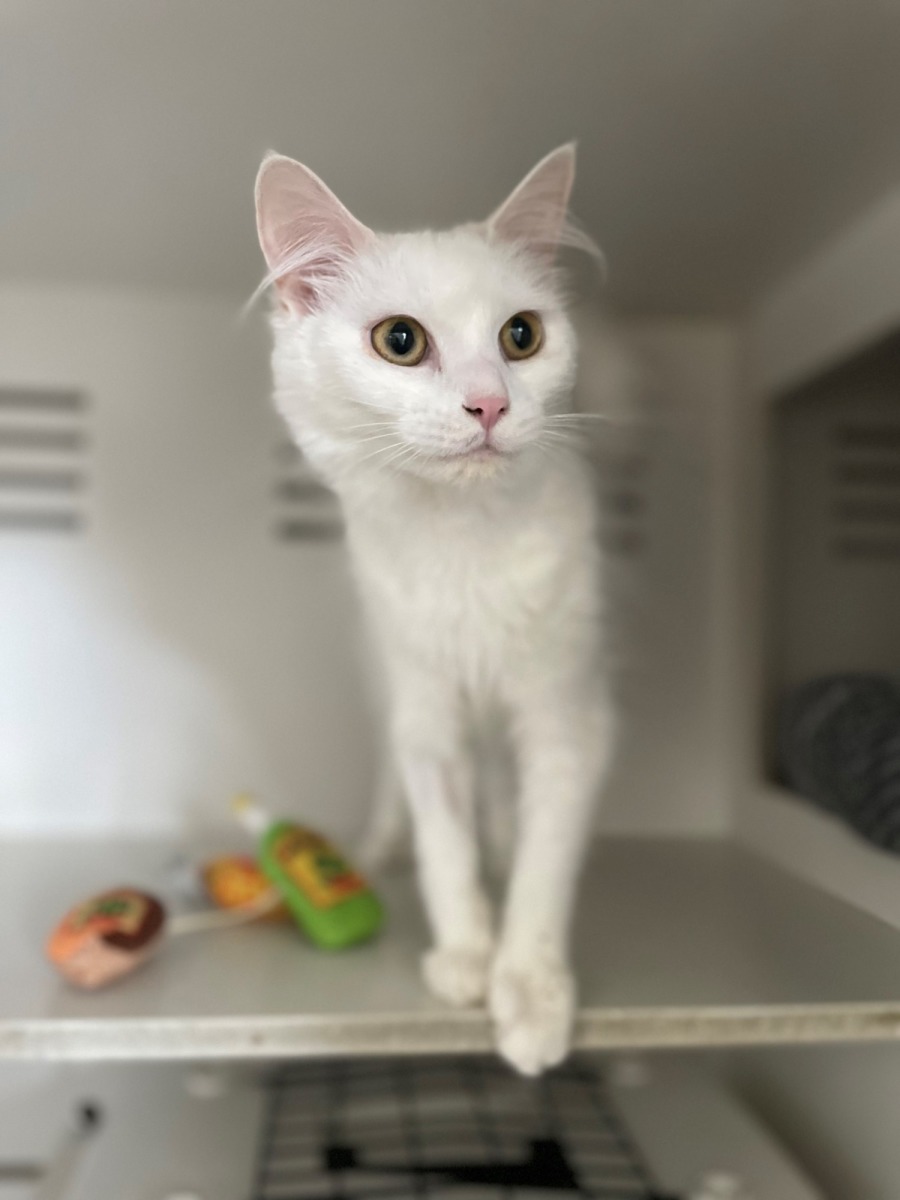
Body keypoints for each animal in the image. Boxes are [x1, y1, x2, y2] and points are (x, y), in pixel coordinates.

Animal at [254, 145, 614, 1075]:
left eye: (522, 336)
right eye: (400, 341)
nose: (490, 404)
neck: (464, 552)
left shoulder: (567, 715)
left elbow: (544, 865)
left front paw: (528, 991)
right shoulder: (427, 712)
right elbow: (444, 846)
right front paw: (465, 958)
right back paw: (380, 844)